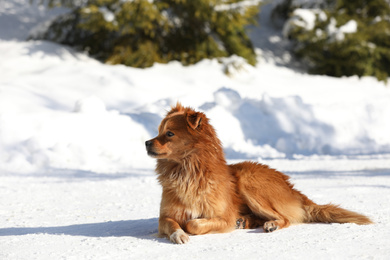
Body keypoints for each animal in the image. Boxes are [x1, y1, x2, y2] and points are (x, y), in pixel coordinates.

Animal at [145, 103, 374, 244]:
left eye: (169, 133)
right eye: (159, 131)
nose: (146, 142)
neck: (187, 170)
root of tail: (292, 188)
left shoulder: (223, 216)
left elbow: (193, 224)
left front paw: (188, 228)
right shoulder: (165, 216)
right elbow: (173, 224)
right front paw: (178, 235)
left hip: (249, 181)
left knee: (286, 218)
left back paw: (269, 224)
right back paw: (245, 221)